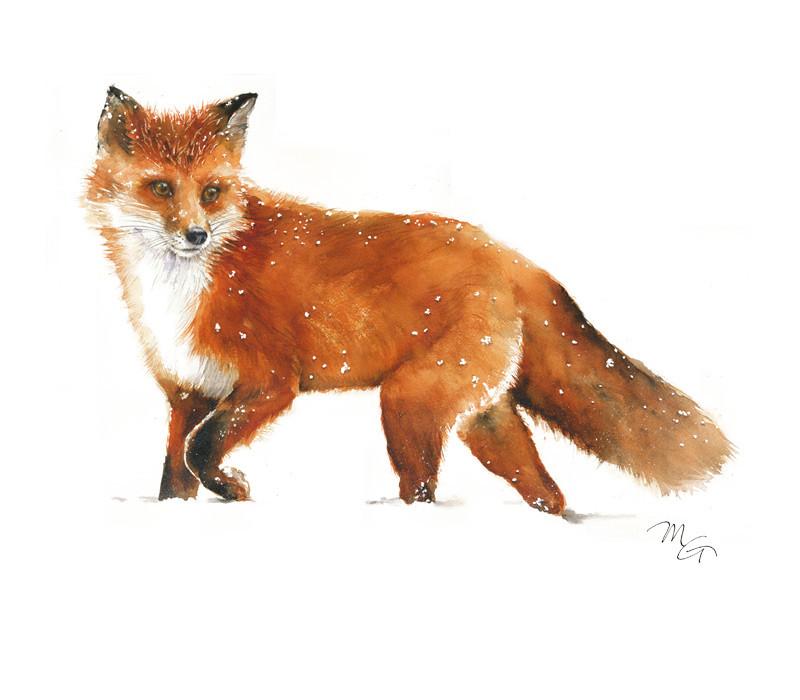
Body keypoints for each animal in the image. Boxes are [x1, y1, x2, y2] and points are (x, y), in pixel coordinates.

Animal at [85, 86, 732, 514]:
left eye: (212, 192)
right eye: (161, 187)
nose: (195, 235)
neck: (180, 287)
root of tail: (512, 255)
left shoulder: (270, 383)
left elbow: (202, 451)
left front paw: (235, 489)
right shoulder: (186, 393)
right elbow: (175, 475)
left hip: (406, 403)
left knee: (422, 490)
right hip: (482, 418)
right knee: (548, 491)